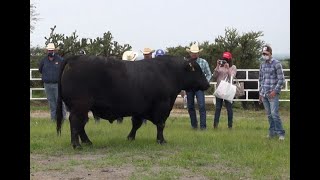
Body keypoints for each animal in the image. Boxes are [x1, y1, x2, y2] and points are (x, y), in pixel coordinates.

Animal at [56, 55, 209, 149]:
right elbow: (161, 124)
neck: (169, 72)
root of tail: (75, 57)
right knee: (76, 122)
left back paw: (87, 142)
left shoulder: (140, 108)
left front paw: (130, 137)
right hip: (80, 105)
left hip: (80, 107)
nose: (207, 84)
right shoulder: (163, 105)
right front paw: (161, 140)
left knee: (81, 124)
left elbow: (136, 124)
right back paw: (77, 145)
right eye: (197, 70)